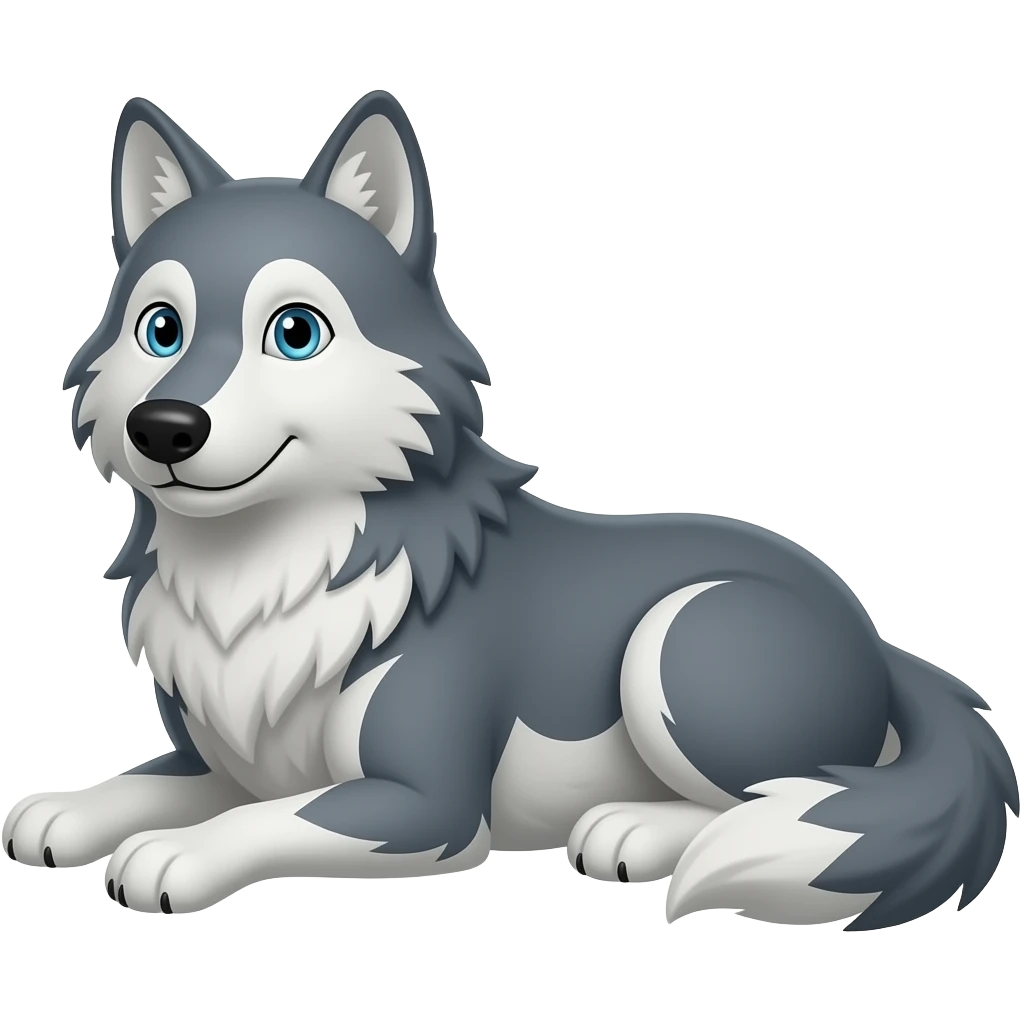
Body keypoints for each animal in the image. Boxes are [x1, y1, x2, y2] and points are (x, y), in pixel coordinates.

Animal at [8, 90, 1016, 927]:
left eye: (294, 332)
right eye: (160, 330)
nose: (164, 427)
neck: (266, 573)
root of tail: (873, 635)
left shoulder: (423, 805)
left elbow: (262, 818)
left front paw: (174, 854)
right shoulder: (218, 761)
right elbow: (160, 784)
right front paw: (68, 806)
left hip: (683, 638)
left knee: (786, 797)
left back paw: (635, 831)